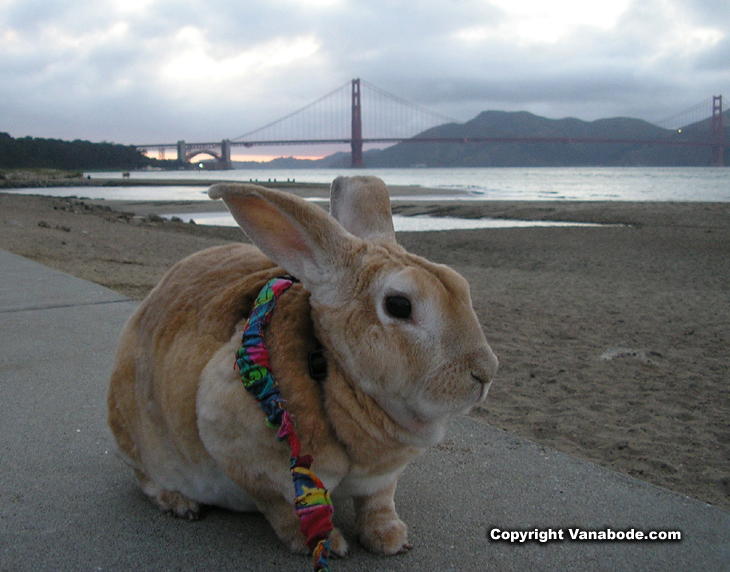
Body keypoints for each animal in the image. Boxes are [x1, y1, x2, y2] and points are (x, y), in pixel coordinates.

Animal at [106, 175, 494, 560]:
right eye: (399, 305)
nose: (485, 373)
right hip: (136, 442)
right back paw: (180, 503)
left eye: (461, 286)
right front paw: (329, 544)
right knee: (145, 479)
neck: (327, 374)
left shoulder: (381, 479)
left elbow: (378, 503)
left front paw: (390, 539)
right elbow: (284, 511)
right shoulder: (250, 463)